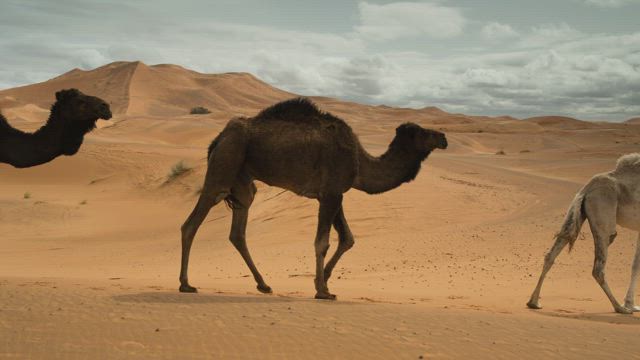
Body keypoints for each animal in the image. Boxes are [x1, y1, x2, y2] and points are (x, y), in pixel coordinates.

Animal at [180, 97, 448, 300]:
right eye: (424, 132)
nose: (444, 137)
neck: (361, 163)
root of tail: (219, 138)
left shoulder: (334, 193)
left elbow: (347, 238)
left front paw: (325, 281)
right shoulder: (331, 193)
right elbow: (323, 242)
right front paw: (322, 290)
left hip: (243, 184)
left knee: (237, 233)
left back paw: (264, 285)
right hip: (224, 167)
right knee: (191, 223)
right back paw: (186, 284)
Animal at [528, 153, 640, 314]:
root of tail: (586, 189)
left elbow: (635, 264)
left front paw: (631, 304)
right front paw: (629, 305)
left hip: (575, 213)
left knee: (551, 254)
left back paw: (534, 302)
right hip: (604, 219)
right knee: (598, 268)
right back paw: (619, 308)